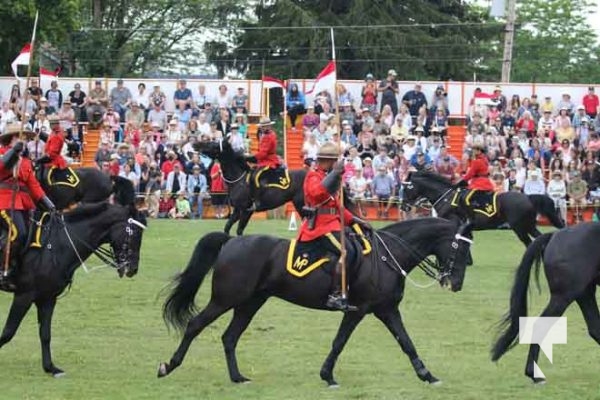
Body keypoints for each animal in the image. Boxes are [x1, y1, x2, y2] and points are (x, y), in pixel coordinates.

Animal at [0, 186, 145, 376]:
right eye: (135, 233)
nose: (133, 269)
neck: (57, 244)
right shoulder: (24, 295)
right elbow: (8, 331)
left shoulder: (47, 298)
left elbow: (45, 334)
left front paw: (50, 367)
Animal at [158, 217, 474, 386]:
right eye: (461, 250)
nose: (456, 283)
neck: (387, 256)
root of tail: (232, 241)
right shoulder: (358, 310)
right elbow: (340, 342)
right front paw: (328, 376)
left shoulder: (386, 310)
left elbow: (406, 342)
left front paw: (427, 375)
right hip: (227, 299)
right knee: (195, 325)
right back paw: (169, 366)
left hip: (250, 303)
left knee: (230, 336)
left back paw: (237, 377)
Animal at [400, 170, 564, 245]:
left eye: (407, 188)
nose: (404, 207)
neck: (446, 197)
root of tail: (528, 197)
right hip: (528, 225)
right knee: (538, 237)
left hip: (520, 228)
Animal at [492, 223, 600, 382]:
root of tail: (554, 235)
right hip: (564, 296)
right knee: (541, 326)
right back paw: (533, 374)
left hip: (584, 292)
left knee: (595, 328)